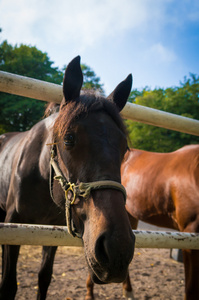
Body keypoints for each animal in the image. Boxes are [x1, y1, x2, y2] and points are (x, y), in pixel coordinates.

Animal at [0, 56, 135, 300]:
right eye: (68, 139)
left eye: (125, 148)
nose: (117, 249)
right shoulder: (12, 223)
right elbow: (8, 285)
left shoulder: (52, 229)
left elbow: (44, 278)